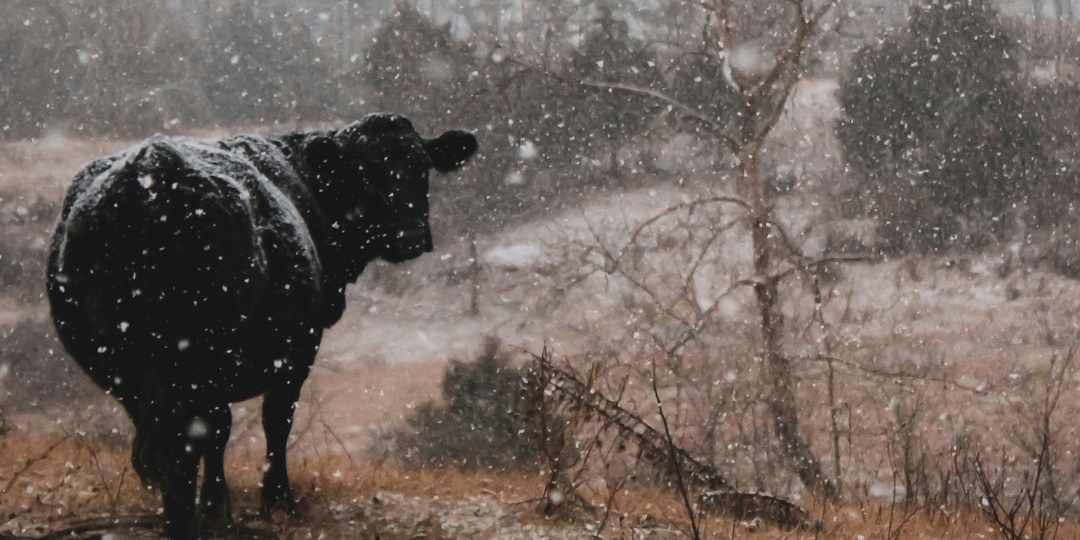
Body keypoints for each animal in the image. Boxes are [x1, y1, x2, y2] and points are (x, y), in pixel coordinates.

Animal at [46, 115, 477, 540]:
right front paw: (272, 501)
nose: (410, 235)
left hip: (122, 361)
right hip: (202, 352)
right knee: (190, 436)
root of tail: (153, 168)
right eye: (363, 172)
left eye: (421, 167)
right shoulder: (298, 347)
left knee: (163, 433)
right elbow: (274, 419)